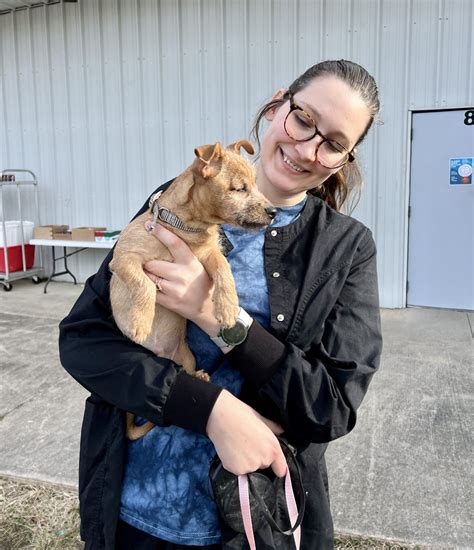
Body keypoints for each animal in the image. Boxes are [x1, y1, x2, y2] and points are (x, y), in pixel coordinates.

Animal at [109, 141, 276, 440]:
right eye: (239, 188)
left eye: (256, 185)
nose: (274, 212)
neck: (185, 227)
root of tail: (160, 353)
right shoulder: (124, 260)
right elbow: (143, 285)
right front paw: (140, 322)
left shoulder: (209, 255)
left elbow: (224, 271)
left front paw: (227, 307)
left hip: (186, 356)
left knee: (183, 372)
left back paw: (199, 376)